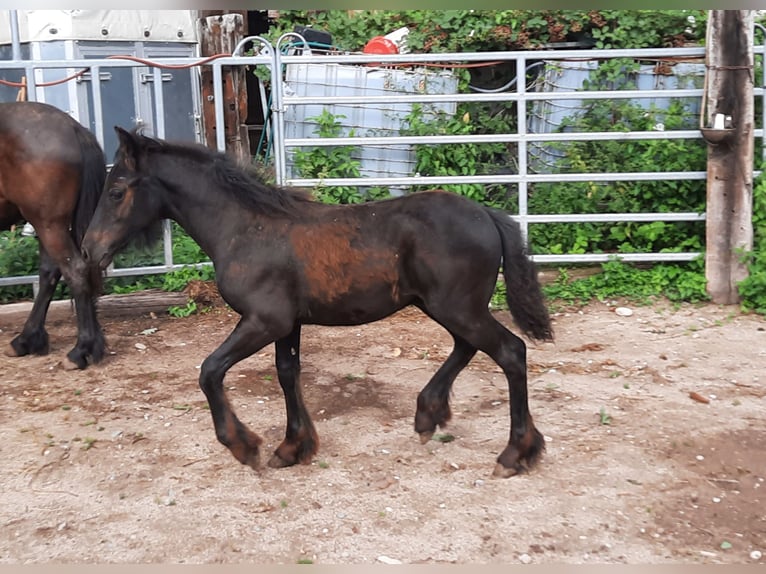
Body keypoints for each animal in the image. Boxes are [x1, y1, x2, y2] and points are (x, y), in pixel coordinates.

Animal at [0, 101, 108, 368]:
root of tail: (72, 127)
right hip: (47, 225)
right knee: (51, 272)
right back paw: (27, 340)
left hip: (48, 223)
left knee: (74, 271)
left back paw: (80, 350)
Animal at [81, 128, 556, 480]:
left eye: (117, 190)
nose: (88, 250)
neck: (246, 227)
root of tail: (487, 215)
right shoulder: (287, 324)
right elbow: (287, 374)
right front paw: (293, 447)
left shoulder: (263, 321)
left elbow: (210, 371)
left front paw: (245, 445)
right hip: (447, 307)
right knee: (468, 347)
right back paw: (428, 415)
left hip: (457, 307)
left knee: (509, 351)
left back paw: (514, 454)